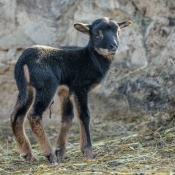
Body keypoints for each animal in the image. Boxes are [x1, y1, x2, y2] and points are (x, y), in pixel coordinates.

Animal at [10, 17, 131, 163]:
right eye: (97, 34)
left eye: (118, 32)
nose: (113, 46)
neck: (90, 59)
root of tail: (23, 61)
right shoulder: (80, 87)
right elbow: (84, 115)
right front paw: (88, 151)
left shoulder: (65, 91)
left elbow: (68, 117)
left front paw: (60, 151)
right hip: (47, 85)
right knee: (33, 115)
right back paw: (50, 155)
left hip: (27, 89)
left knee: (16, 116)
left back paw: (28, 155)